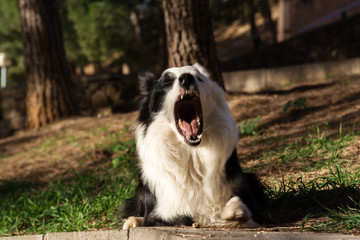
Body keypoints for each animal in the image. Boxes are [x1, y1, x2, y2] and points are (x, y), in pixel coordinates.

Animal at [122, 64, 262, 230]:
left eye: (199, 78)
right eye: (167, 82)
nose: (186, 78)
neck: (192, 154)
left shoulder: (244, 186)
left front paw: (234, 210)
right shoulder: (159, 213)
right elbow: (176, 217)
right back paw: (132, 221)